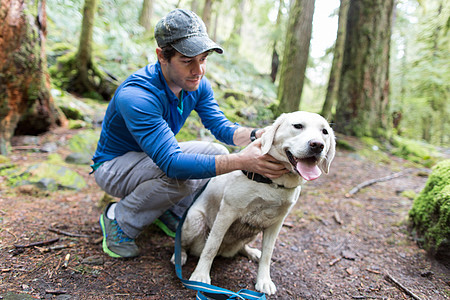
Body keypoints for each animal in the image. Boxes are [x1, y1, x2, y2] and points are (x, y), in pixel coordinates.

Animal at [171, 111, 336, 294]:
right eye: (298, 126)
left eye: (324, 132)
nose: (317, 145)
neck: (274, 183)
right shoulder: (227, 212)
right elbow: (212, 246)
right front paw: (200, 275)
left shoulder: (276, 223)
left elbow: (268, 254)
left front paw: (263, 280)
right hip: (194, 221)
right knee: (183, 242)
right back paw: (180, 255)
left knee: (242, 246)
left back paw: (251, 252)